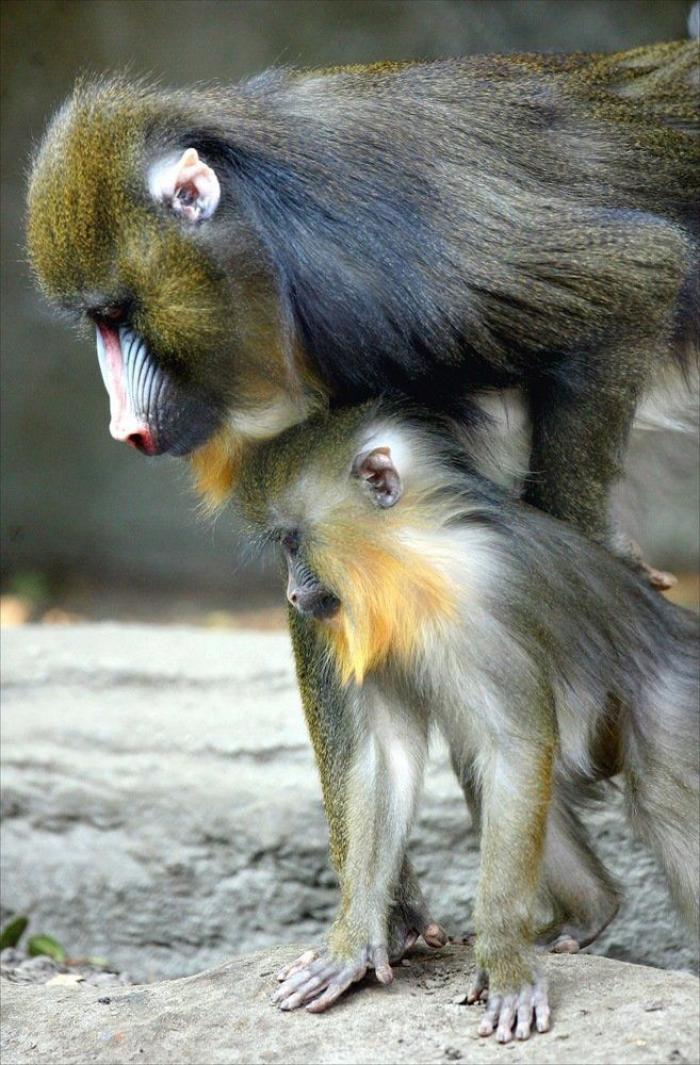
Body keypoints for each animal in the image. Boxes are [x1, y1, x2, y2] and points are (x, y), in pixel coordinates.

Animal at [236, 400, 700, 1041]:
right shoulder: (373, 632)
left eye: (292, 541)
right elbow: (390, 758)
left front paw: (505, 967)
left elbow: (517, 746)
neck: (416, 560)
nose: (292, 596)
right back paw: (590, 912)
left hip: (672, 702)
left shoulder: (484, 604)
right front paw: (352, 946)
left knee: (666, 805)